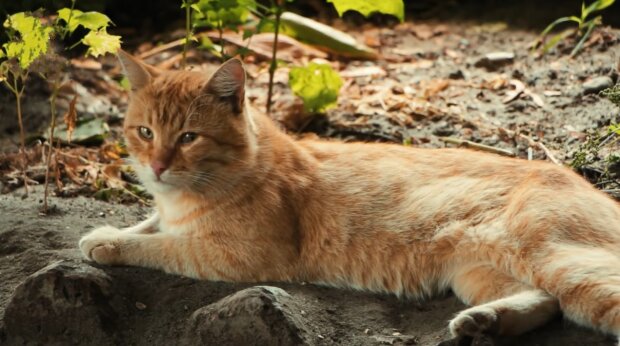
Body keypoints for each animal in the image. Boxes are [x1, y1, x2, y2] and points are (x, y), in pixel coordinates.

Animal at [80, 50, 620, 342]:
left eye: (189, 137)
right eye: (145, 132)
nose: (157, 166)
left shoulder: (240, 256)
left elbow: (162, 245)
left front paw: (109, 241)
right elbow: (151, 224)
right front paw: (117, 228)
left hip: (555, 257)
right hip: (475, 272)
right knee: (545, 301)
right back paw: (483, 322)